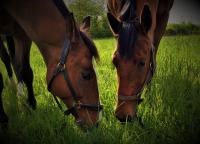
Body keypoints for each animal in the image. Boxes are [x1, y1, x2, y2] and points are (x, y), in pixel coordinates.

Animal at [0, 0, 102, 128]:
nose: (97, 121)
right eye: (86, 75)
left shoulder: (22, 33)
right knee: (6, 59)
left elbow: (25, 71)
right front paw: (4, 120)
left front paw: (31, 106)